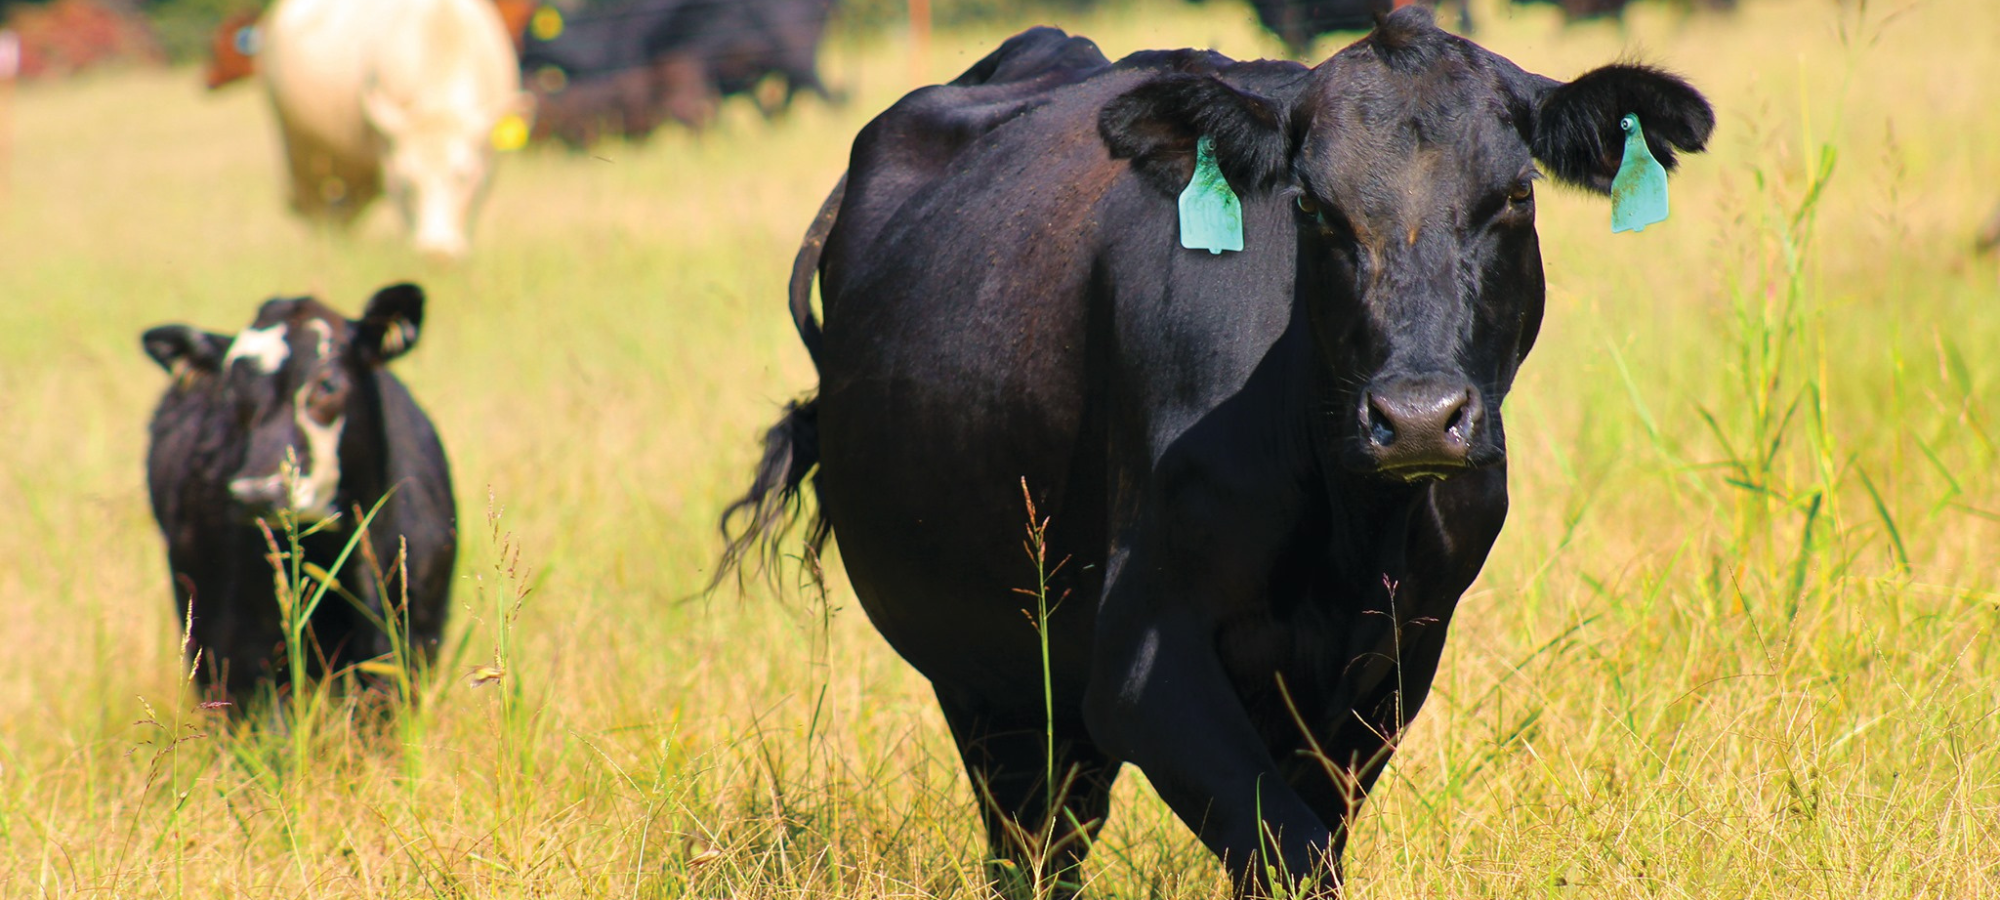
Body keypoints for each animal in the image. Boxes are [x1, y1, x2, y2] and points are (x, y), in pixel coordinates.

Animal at [728, 8, 1712, 900]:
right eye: (1313, 207)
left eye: (1515, 196)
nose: (1418, 417)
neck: (1352, 528)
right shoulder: (1142, 663)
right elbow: (1291, 850)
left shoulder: (1394, 663)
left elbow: (1312, 836)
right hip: (991, 679)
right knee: (1031, 848)